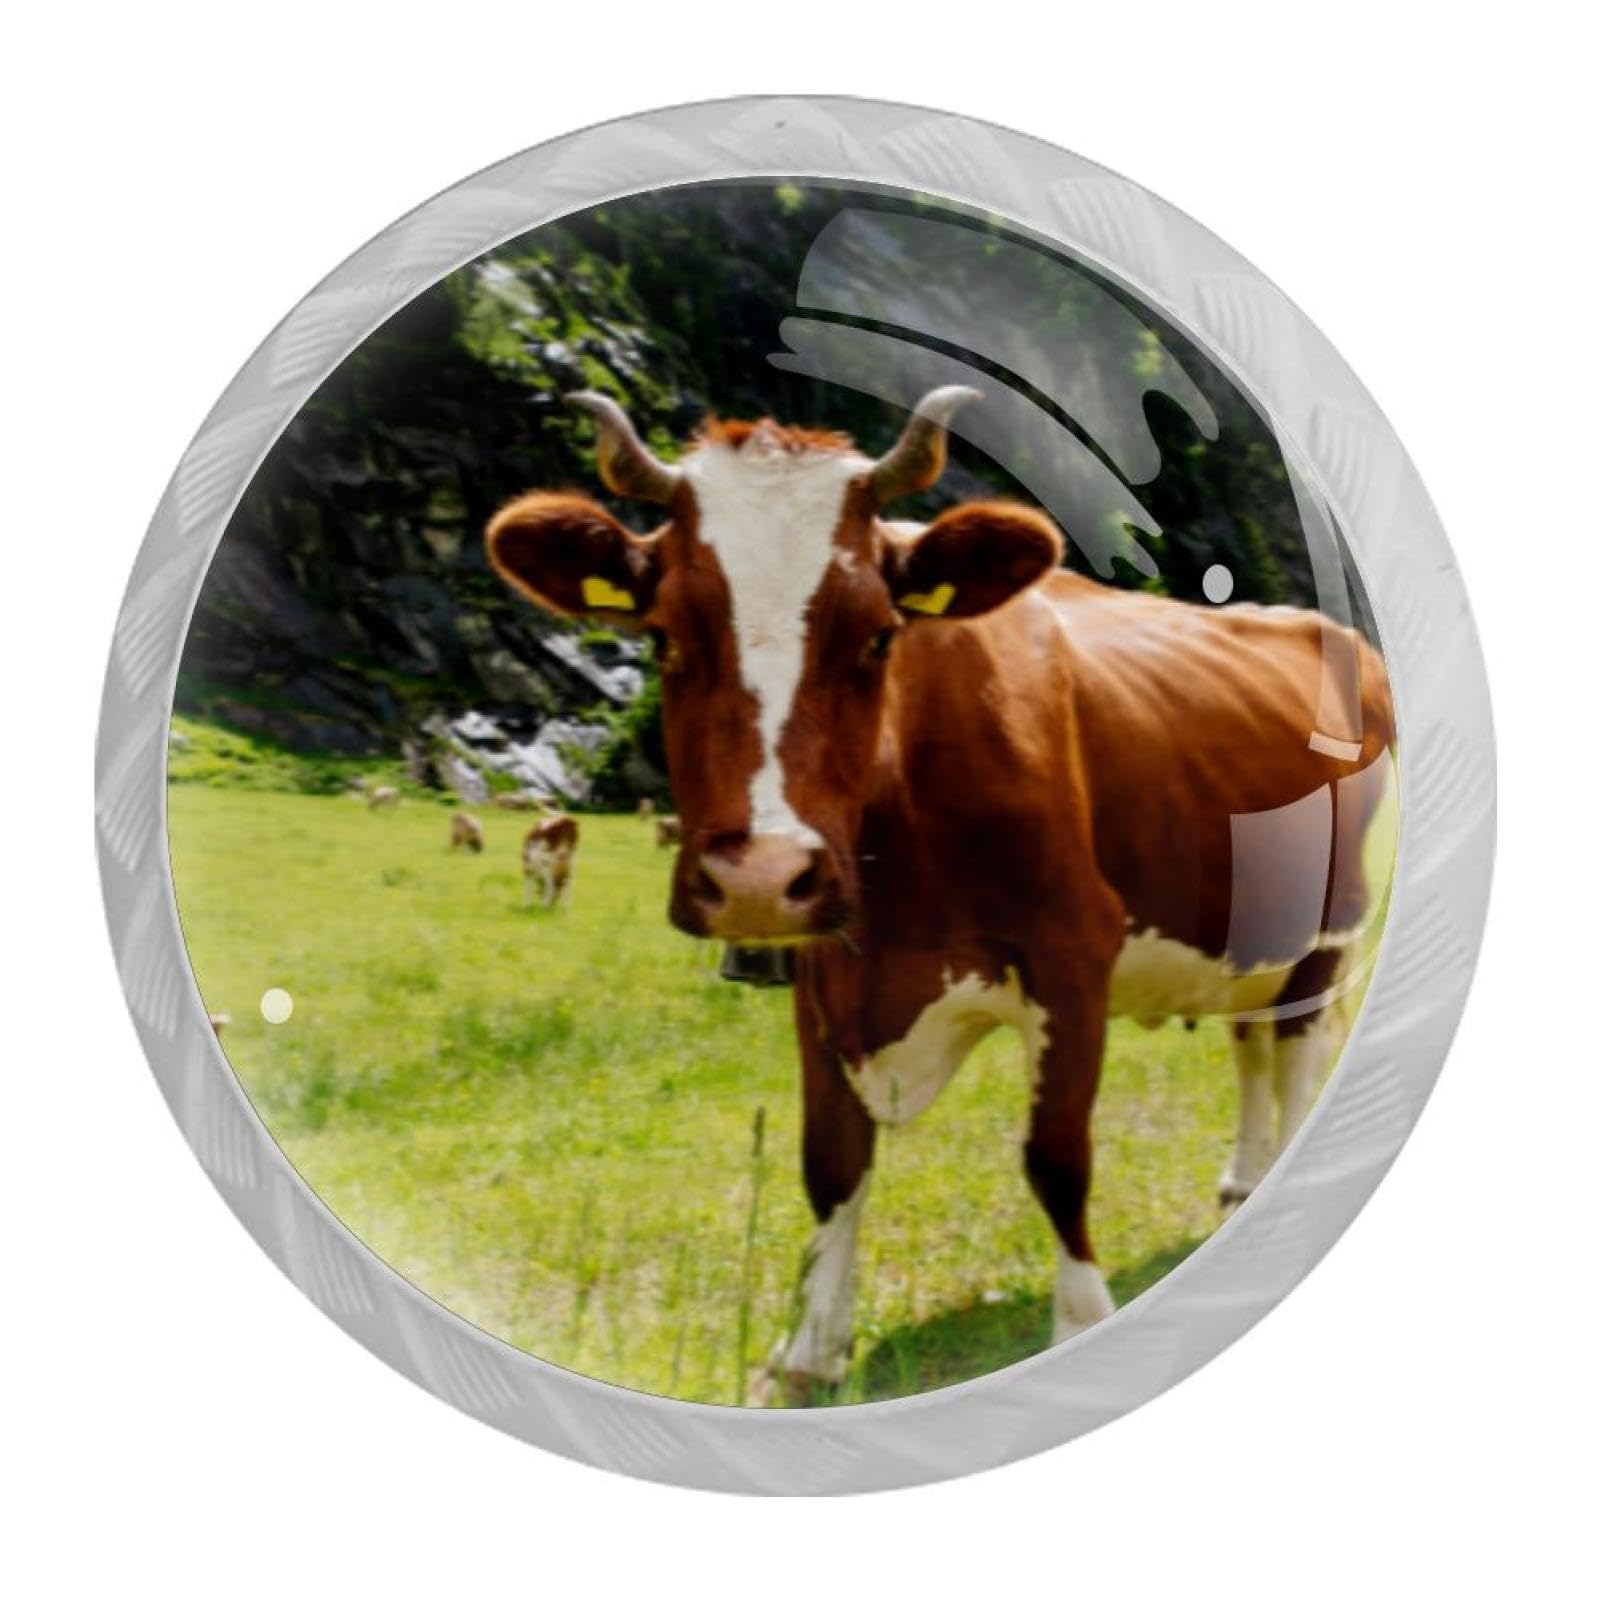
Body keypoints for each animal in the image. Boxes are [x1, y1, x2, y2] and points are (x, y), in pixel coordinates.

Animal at [486, 387, 1395, 1403]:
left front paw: (1080, 1320)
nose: (759, 877)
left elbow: (1056, 1157)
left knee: (1297, 1054)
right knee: (1249, 1045)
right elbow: (829, 1159)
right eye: (664, 635)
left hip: (1330, 929)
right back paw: (1242, 1180)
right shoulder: (820, 970)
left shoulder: (1072, 953)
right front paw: (810, 1347)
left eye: (879, 635)